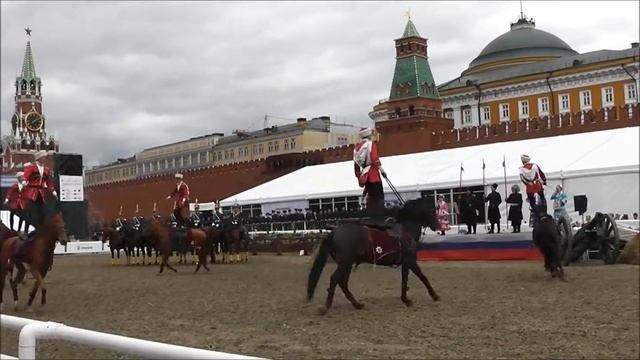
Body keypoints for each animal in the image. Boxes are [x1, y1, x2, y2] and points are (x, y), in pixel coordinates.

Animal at [306, 197, 438, 316]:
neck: (406, 230)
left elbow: (404, 280)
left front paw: (406, 299)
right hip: (345, 263)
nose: (436, 225)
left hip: (346, 265)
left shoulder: (406, 263)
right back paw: (326, 307)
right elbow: (422, 277)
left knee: (343, 283)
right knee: (335, 280)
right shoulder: (410, 261)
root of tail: (335, 232)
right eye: (432, 210)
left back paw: (357, 304)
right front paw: (434, 296)